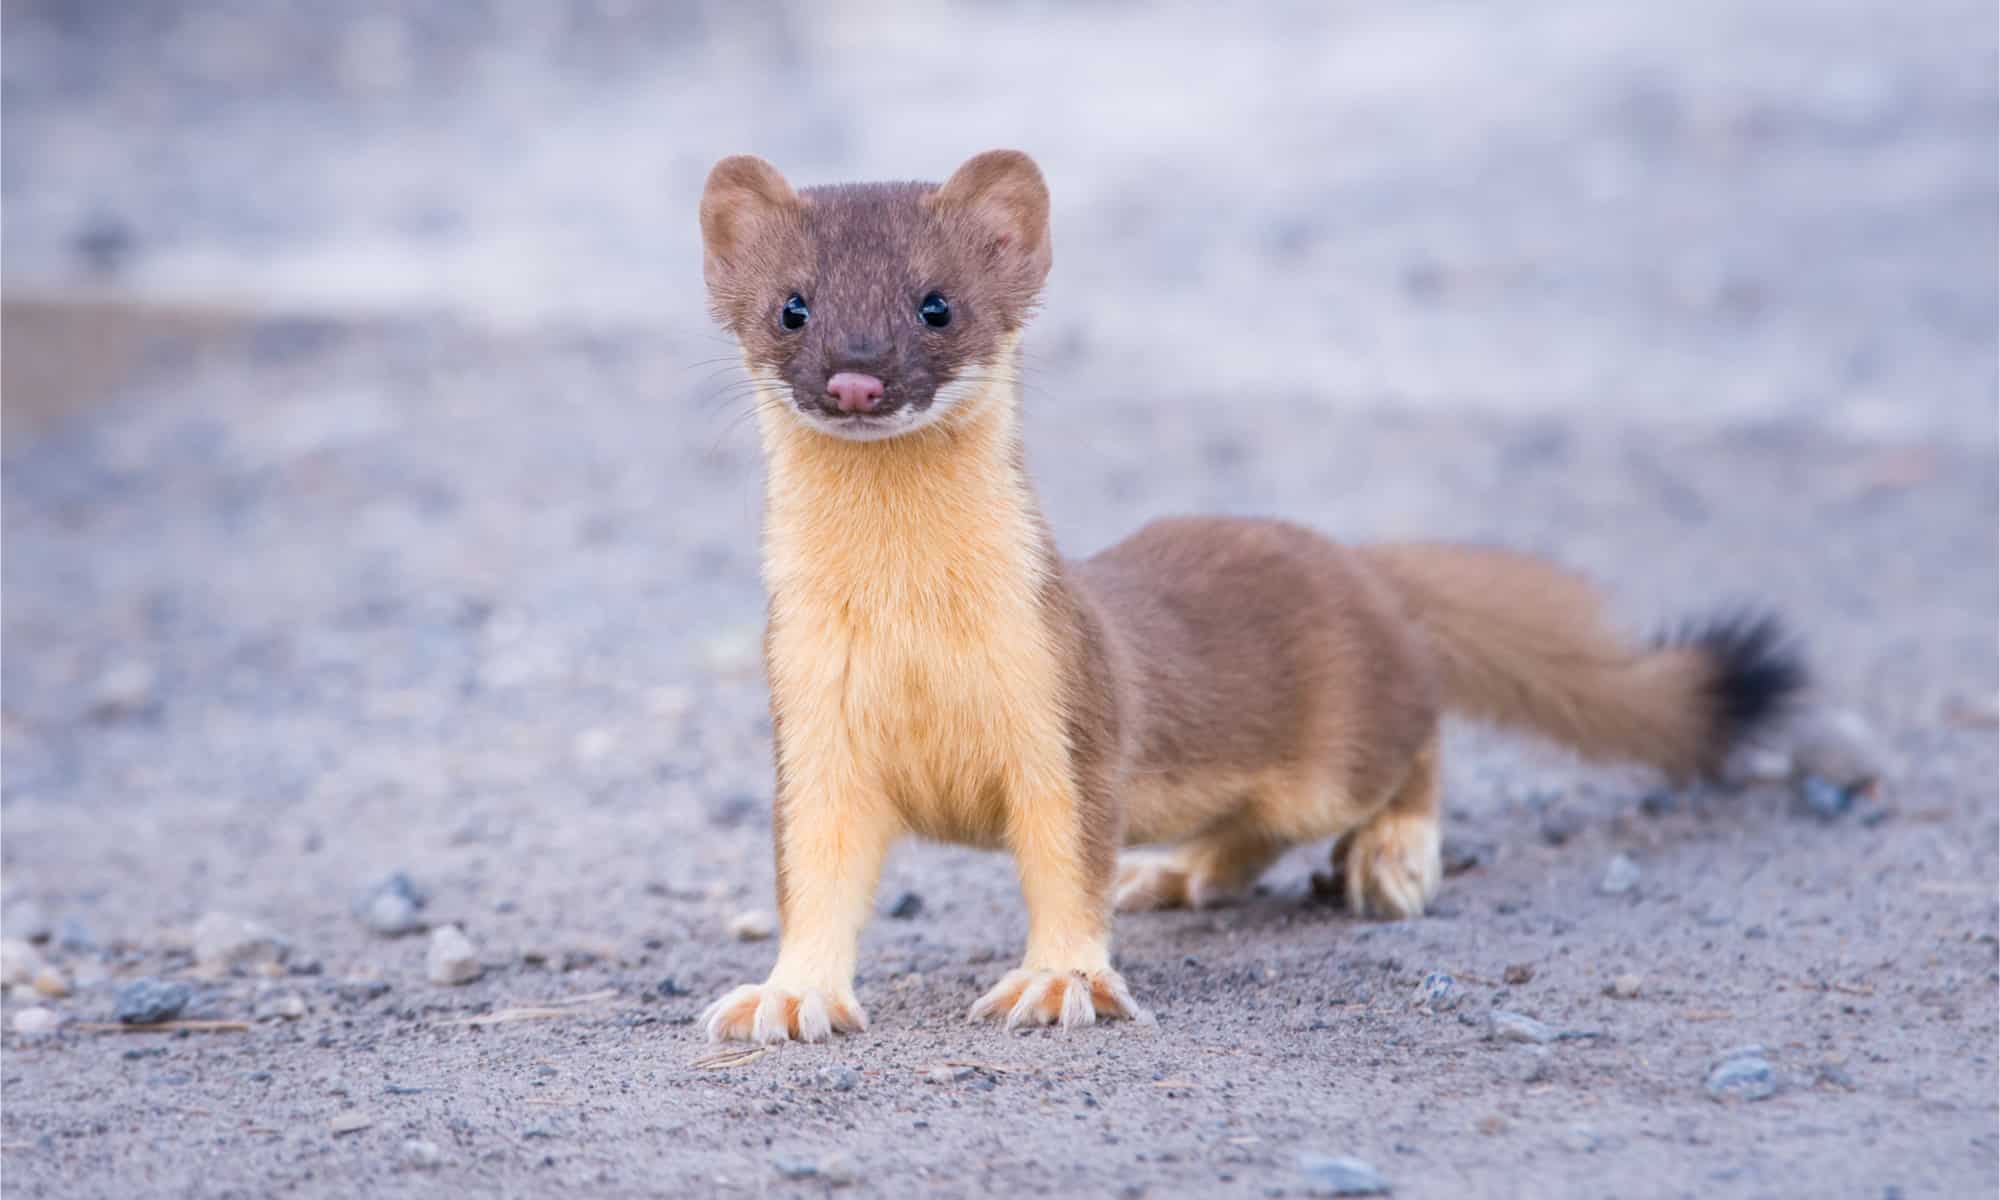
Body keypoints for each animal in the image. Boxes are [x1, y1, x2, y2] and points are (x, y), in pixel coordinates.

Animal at [696, 150, 1808, 1048]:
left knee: (1414, 743)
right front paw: (786, 997)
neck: (912, 636)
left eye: (937, 303)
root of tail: (1354, 561)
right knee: (1255, 826)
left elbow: (1067, 857)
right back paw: (1175, 874)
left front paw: (1057, 982)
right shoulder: (810, 725)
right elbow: (815, 875)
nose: (854, 379)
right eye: (792, 305)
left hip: (1340, 744)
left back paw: (1393, 859)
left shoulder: (1066, 705)